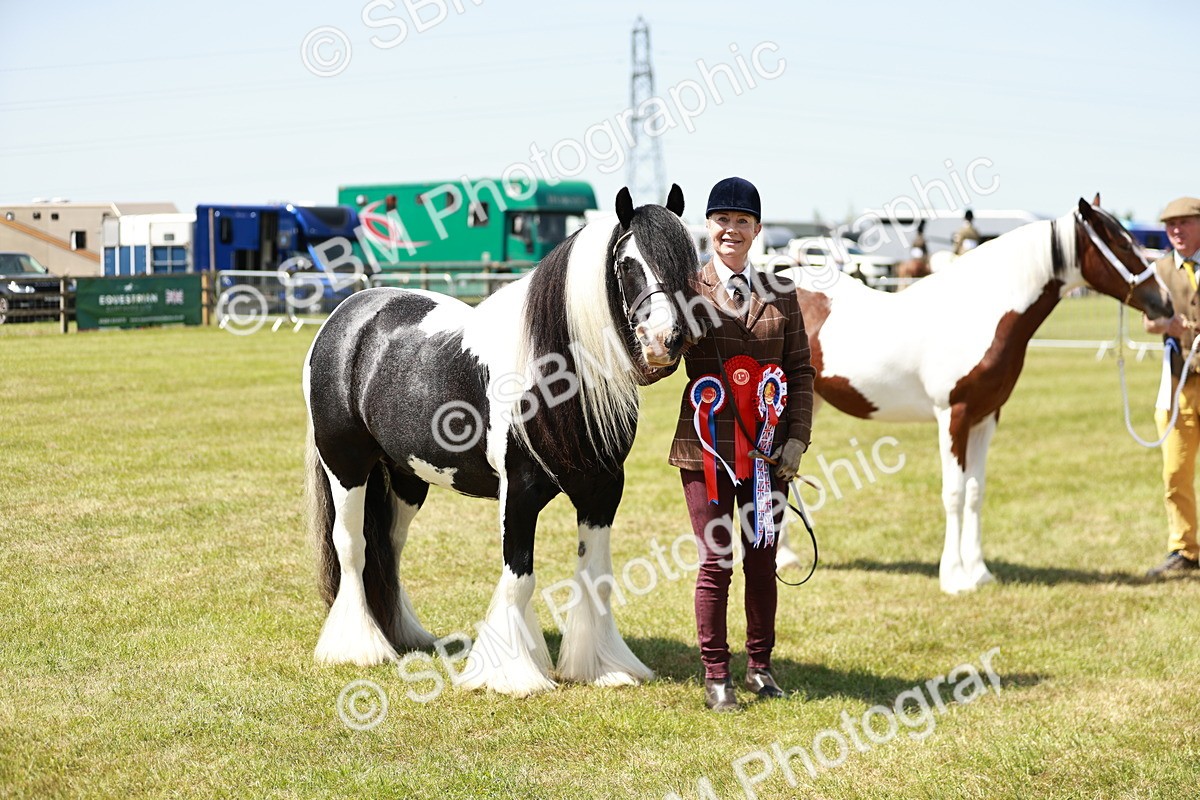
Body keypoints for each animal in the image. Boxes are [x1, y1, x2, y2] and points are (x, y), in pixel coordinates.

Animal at [303, 185, 699, 695]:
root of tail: (349, 316)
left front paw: (601, 667)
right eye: (628, 263)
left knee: (387, 547)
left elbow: (595, 577)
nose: (666, 341)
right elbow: (519, 577)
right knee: (352, 545)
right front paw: (511, 676)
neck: (553, 376)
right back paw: (360, 647)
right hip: (346, 465)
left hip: (406, 478)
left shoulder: (603, 491)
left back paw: (404, 634)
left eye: (686, 259)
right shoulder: (520, 491)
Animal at [775, 196, 1173, 594]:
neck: (979, 313)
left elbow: (975, 492)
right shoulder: (954, 416)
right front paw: (953, 576)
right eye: (1121, 244)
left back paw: (786, 557)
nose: (1166, 303)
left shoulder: (986, 418)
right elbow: (954, 494)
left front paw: (979, 572)